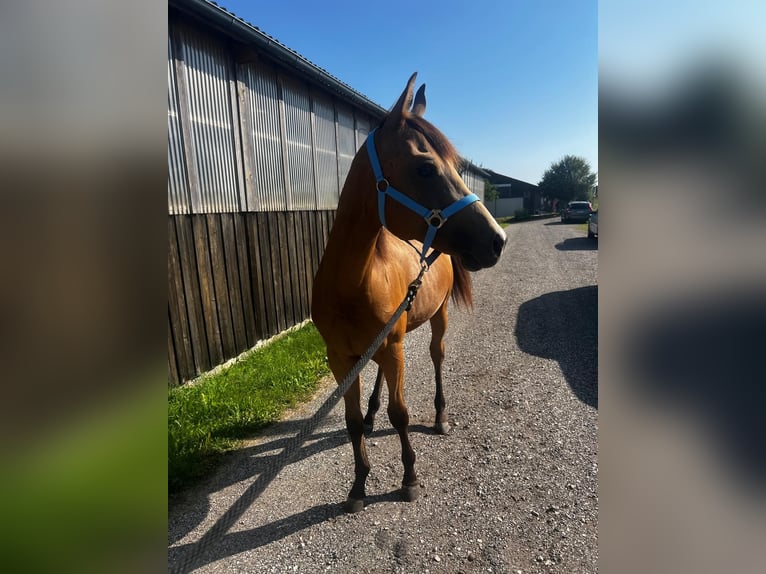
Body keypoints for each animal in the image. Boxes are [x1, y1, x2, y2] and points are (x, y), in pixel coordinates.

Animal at [312, 73, 510, 516]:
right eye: (425, 167)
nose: (497, 240)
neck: (351, 284)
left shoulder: (394, 347)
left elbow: (400, 414)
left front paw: (409, 478)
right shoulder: (340, 358)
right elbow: (351, 422)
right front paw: (358, 484)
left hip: (435, 321)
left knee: (436, 358)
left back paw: (439, 416)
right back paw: (373, 415)